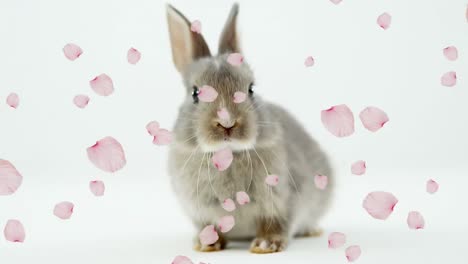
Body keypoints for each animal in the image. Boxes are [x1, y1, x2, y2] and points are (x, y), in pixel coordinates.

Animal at [165, 2, 332, 254]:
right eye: (195, 93)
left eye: (251, 89)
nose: (227, 124)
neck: (228, 154)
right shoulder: (200, 210)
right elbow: (209, 226)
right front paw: (206, 244)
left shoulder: (282, 198)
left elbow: (275, 223)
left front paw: (266, 244)